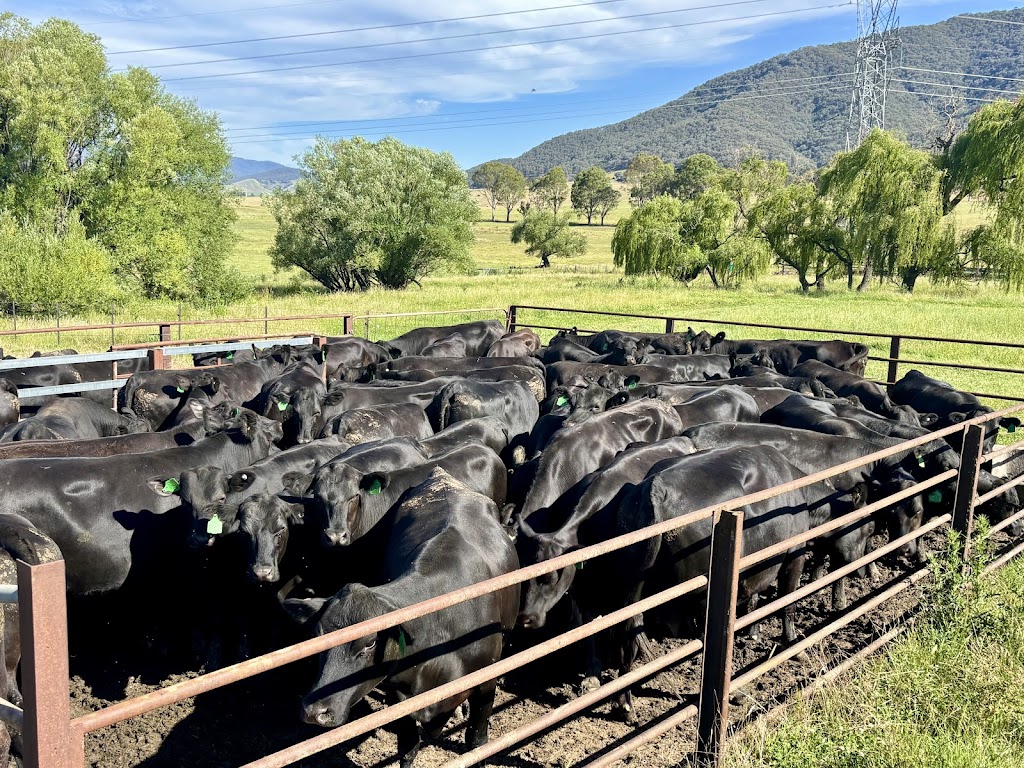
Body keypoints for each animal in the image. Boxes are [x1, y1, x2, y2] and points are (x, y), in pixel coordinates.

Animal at [284, 468, 519, 768]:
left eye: (371, 643)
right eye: (317, 636)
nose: (315, 711)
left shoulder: (485, 683)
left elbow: (477, 743)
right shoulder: (398, 697)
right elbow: (408, 747)